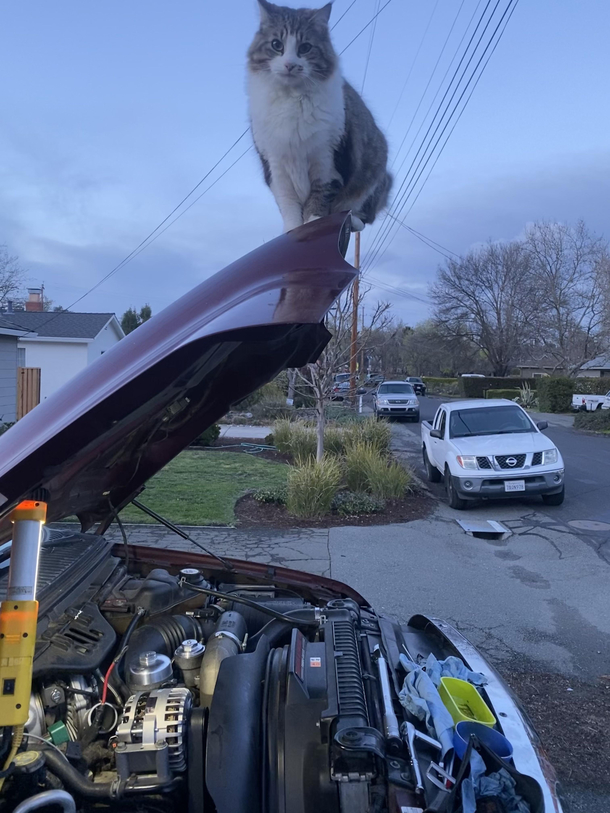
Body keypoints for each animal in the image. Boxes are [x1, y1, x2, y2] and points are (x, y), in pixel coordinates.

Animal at [246, 0, 390, 235]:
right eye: (277, 44)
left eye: (305, 47)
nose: (290, 65)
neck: (291, 100)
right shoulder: (276, 166)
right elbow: (289, 208)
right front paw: (292, 231)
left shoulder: (327, 162)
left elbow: (318, 200)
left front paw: (313, 225)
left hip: (375, 171)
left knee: (362, 214)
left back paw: (352, 220)